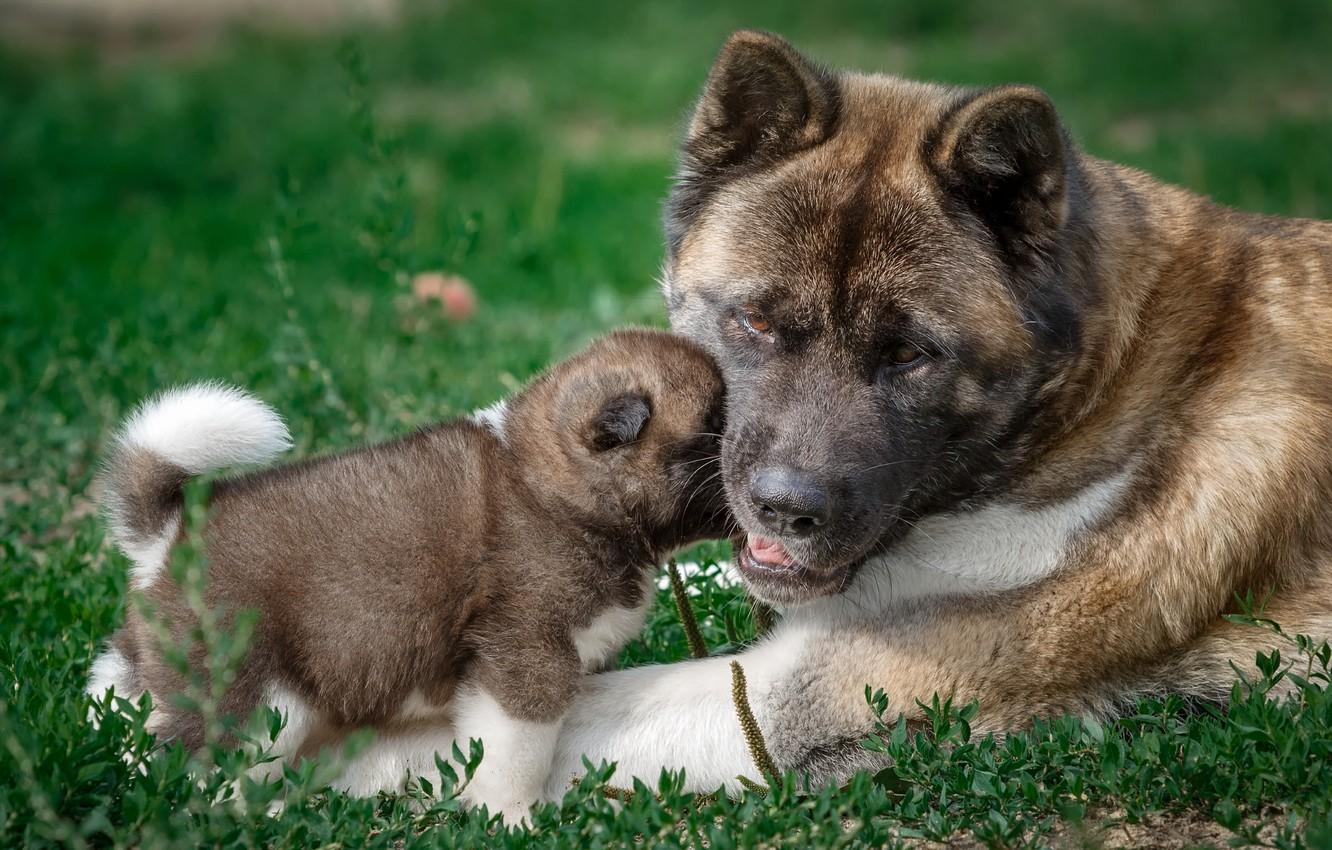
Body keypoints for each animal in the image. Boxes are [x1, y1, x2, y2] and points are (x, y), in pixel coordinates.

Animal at [88, 327, 729, 820]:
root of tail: (168, 537)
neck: (558, 489)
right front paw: (514, 816)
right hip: (252, 698)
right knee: (209, 766)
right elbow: (517, 753)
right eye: (714, 422)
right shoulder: (526, 656)